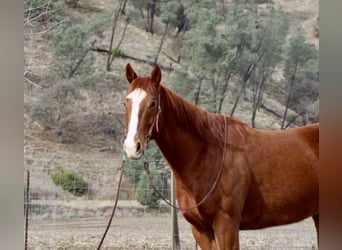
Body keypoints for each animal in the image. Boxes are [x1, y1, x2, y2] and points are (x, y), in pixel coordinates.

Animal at [123, 63, 318, 249]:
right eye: (126, 103)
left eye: (153, 103)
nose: (132, 146)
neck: (207, 157)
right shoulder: (201, 230)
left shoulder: (226, 226)